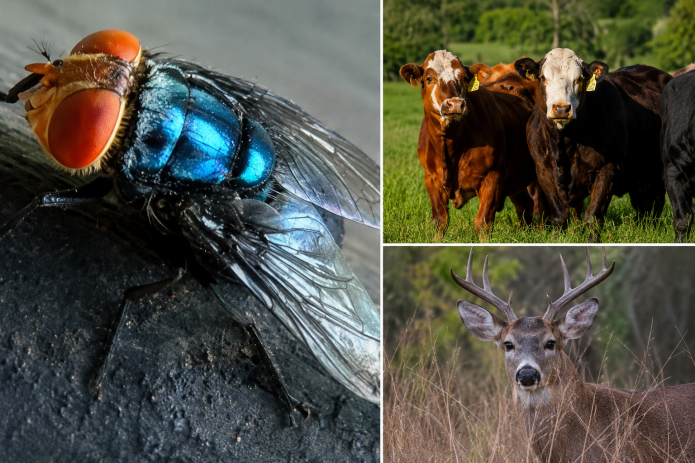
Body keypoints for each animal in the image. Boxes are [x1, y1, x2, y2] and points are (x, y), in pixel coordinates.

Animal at [399, 50, 543, 237]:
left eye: (463, 78)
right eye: (429, 78)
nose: (455, 104)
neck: (450, 147)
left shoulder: (492, 178)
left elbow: (483, 222)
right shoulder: (431, 179)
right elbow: (440, 221)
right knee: (525, 205)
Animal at [514, 49, 671, 242]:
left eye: (580, 78)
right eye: (543, 77)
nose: (561, 108)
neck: (564, 144)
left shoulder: (607, 169)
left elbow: (593, 216)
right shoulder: (543, 171)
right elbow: (559, 216)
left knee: (655, 205)